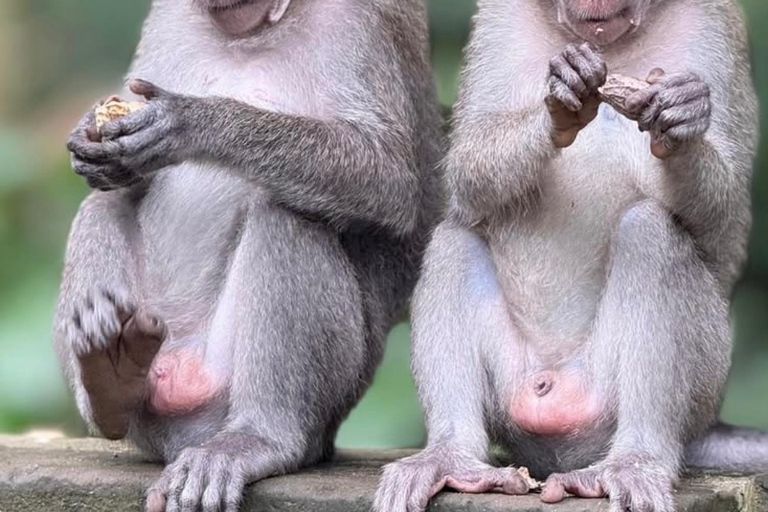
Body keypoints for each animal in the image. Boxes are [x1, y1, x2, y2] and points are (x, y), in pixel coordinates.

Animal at [57, 1, 442, 511]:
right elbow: (122, 182)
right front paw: (94, 147)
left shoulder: (364, 20)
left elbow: (388, 179)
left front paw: (193, 121)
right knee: (102, 206)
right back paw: (112, 377)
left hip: (320, 389)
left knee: (286, 213)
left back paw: (258, 439)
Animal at [374, 0, 766, 511]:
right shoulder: (498, 19)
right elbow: (467, 175)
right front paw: (560, 101)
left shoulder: (716, 25)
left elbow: (725, 229)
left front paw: (684, 115)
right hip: (513, 391)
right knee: (454, 237)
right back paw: (448, 456)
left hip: (700, 381)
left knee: (650, 232)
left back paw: (636, 460)